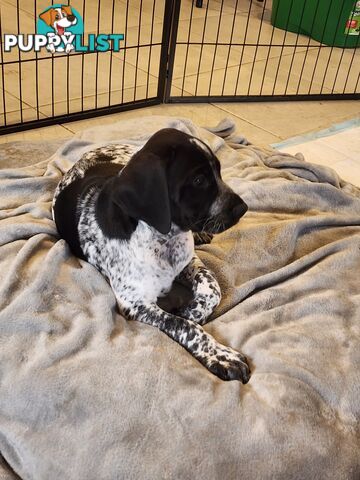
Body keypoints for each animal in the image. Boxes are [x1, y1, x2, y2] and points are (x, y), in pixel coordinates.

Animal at [53, 128, 250, 382]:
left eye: (219, 171)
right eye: (198, 180)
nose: (243, 208)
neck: (163, 238)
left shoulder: (188, 262)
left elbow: (212, 288)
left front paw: (192, 311)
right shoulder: (135, 303)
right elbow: (182, 325)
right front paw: (219, 354)